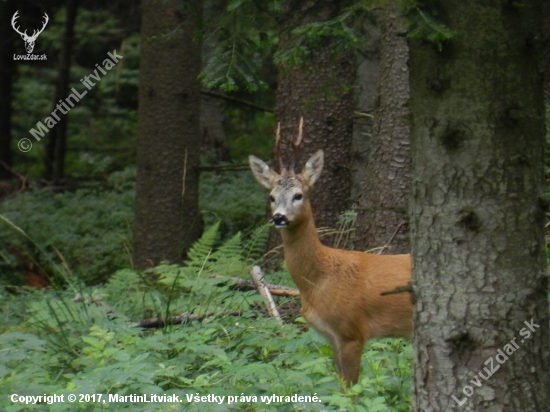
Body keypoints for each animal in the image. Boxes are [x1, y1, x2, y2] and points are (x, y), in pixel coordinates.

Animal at [250, 120, 414, 384]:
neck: (319, 279)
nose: (279, 218)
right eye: (272, 196)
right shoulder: (330, 337)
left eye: (299, 195)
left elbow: (350, 390)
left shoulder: (351, 331)